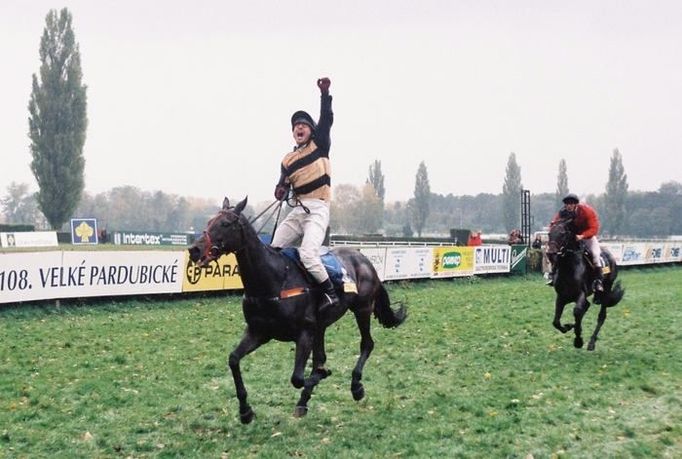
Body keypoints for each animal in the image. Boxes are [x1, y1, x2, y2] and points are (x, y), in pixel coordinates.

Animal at [187, 198, 404, 424]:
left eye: (226, 223)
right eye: (209, 221)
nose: (194, 250)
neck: (273, 281)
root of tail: (365, 261)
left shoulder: (305, 333)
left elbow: (298, 378)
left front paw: (323, 375)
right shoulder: (258, 332)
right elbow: (233, 359)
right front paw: (245, 411)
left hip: (362, 309)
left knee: (366, 344)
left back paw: (356, 386)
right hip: (322, 326)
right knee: (321, 357)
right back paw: (304, 401)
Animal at [544, 219, 624, 352]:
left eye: (563, 234)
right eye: (549, 234)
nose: (550, 253)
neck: (569, 267)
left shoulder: (580, 294)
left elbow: (577, 311)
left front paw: (578, 340)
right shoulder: (561, 296)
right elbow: (556, 321)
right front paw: (568, 327)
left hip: (606, 291)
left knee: (601, 316)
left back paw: (591, 343)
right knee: (586, 307)